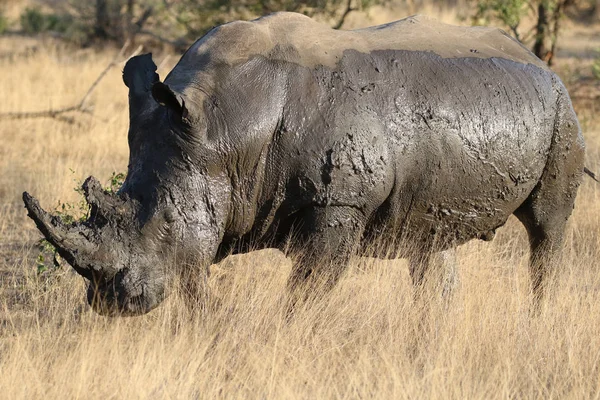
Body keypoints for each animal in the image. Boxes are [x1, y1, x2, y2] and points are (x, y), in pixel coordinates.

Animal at [22, 12, 584, 316]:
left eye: (159, 221)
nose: (110, 303)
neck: (221, 131)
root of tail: (542, 65)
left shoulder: (340, 200)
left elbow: (305, 294)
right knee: (428, 239)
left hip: (562, 112)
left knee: (547, 229)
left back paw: (537, 316)